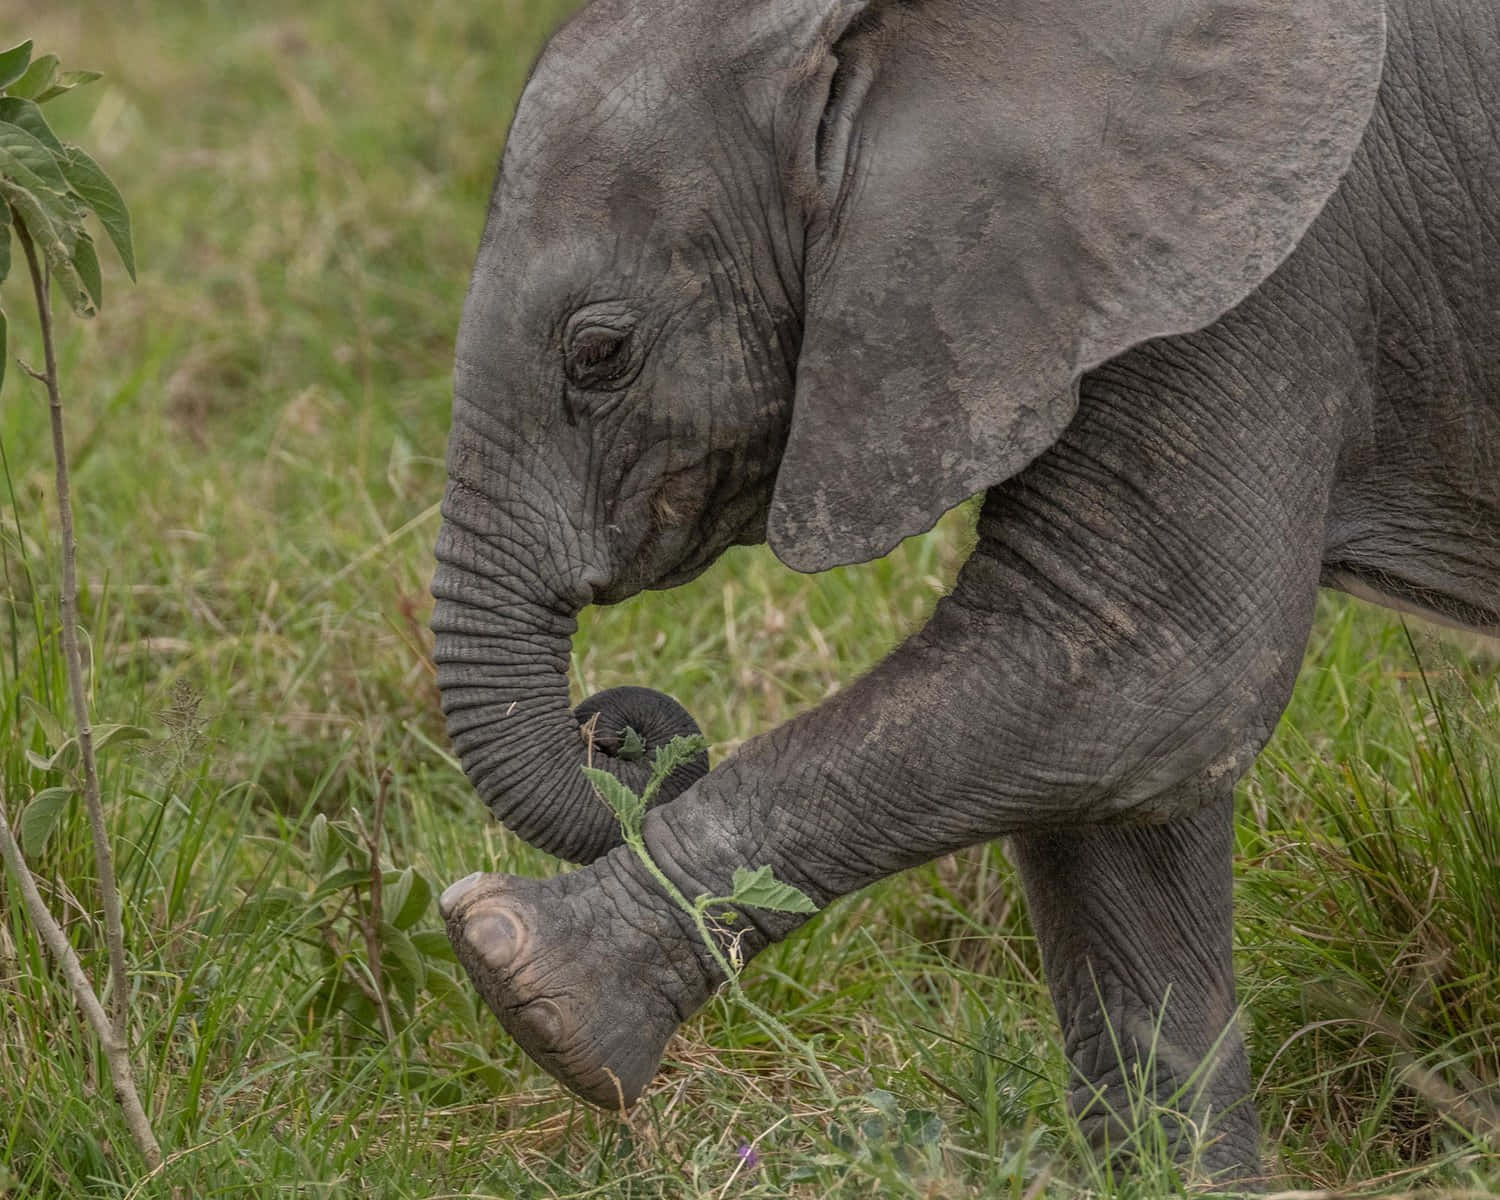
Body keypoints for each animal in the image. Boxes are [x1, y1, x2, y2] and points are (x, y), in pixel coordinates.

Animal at [429, 0, 1500, 1182]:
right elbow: (1110, 783)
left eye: (600, 354)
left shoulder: (1270, 254)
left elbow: (1153, 669)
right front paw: (1171, 1182)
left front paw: (521, 978)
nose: (613, 727)